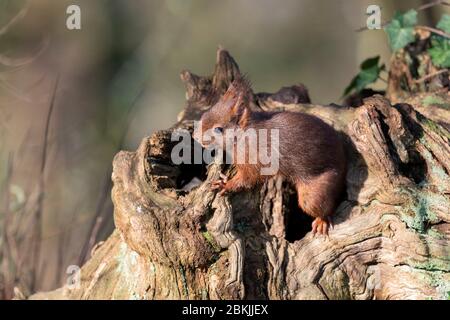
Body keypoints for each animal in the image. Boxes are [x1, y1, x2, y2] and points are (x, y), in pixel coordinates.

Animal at [195, 76, 346, 234]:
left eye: (218, 129)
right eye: (205, 114)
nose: (195, 136)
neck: (245, 136)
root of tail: (342, 159)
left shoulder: (255, 161)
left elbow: (247, 179)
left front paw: (226, 184)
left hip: (314, 194)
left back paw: (322, 220)